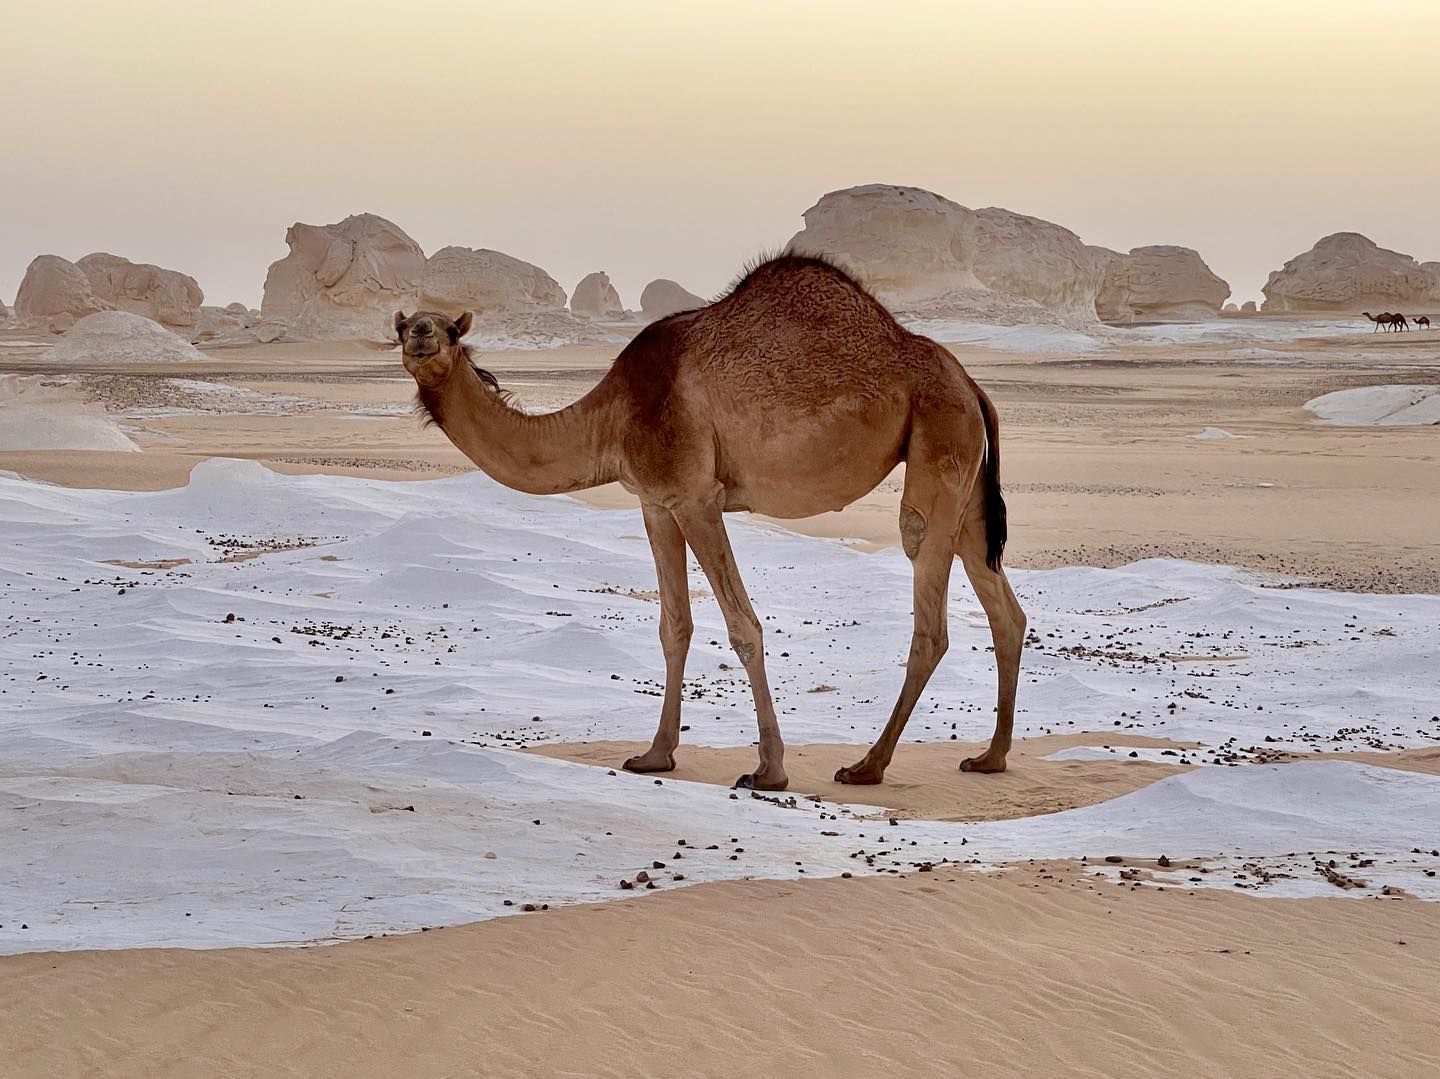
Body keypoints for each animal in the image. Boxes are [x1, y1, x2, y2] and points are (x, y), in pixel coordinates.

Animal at [396, 254, 1025, 792]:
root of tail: (972, 384)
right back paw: (989, 758)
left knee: (928, 602)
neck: (611, 419)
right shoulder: (655, 503)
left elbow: (743, 627)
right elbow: (673, 627)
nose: (420, 333)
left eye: (450, 330)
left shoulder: (696, 496)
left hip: (939, 440)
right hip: (965, 476)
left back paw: (868, 766)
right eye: (404, 326)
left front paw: (769, 770)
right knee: (1003, 607)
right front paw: (655, 755)